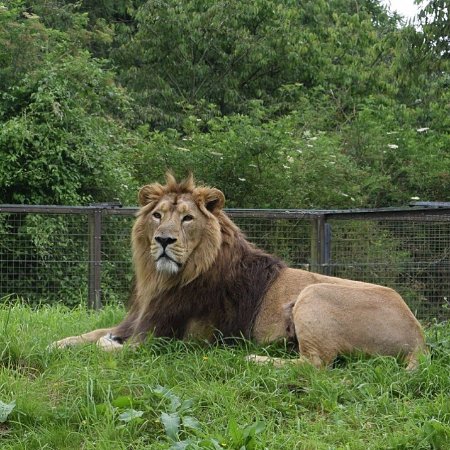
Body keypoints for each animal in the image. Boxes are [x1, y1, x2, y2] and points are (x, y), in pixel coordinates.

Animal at [52, 173, 427, 369]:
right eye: (157, 215)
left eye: (187, 218)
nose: (163, 240)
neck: (162, 281)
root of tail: (419, 336)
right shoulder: (138, 321)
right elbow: (88, 333)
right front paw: (57, 342)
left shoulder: (168, 339)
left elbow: (108, 345)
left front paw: (105, 345)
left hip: (313, 293)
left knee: (316, 365)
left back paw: (253, 358)